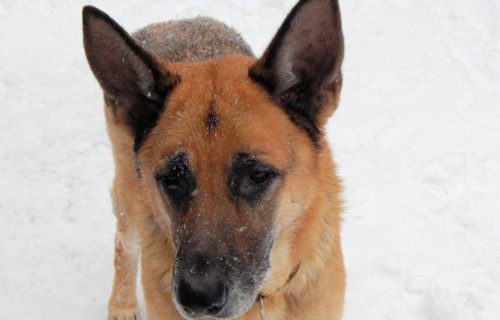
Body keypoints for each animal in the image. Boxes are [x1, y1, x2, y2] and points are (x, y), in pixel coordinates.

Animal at [84, 0, 346, 318]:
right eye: (171, 179)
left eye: (257, 175)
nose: (197, 298)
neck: (263, 300)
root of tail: (175, 23)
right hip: (131, 198)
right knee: (124, 245)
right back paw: (122, 304)